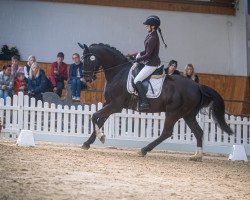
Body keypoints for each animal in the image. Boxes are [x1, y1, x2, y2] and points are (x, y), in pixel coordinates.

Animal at [77, 42, 232, 161]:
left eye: (89, 60)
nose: (86, 79)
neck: (118, 72)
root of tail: (198, 86)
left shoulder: (116, 105)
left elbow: (94, 116)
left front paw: (101, 137)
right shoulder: (109, 103)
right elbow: (99, 120)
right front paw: (88, 143)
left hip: (174, 113)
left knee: (167, 133)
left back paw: (144, 150)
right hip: (188, 115)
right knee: (199, 132)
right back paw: (197, 156)